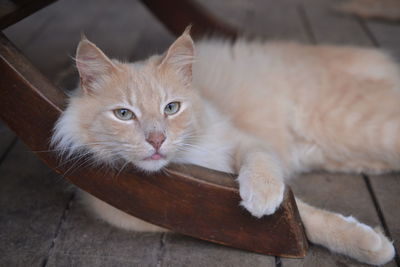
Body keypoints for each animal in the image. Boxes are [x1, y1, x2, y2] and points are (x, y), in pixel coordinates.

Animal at [51, 27, 398, 266]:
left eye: (171, 108)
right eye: (123, 114)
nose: (157, 139)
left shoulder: (245, 141)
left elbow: (265, 170)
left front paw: (261, 196)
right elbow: (304, 219)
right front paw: (371, 244)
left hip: (360, 128)